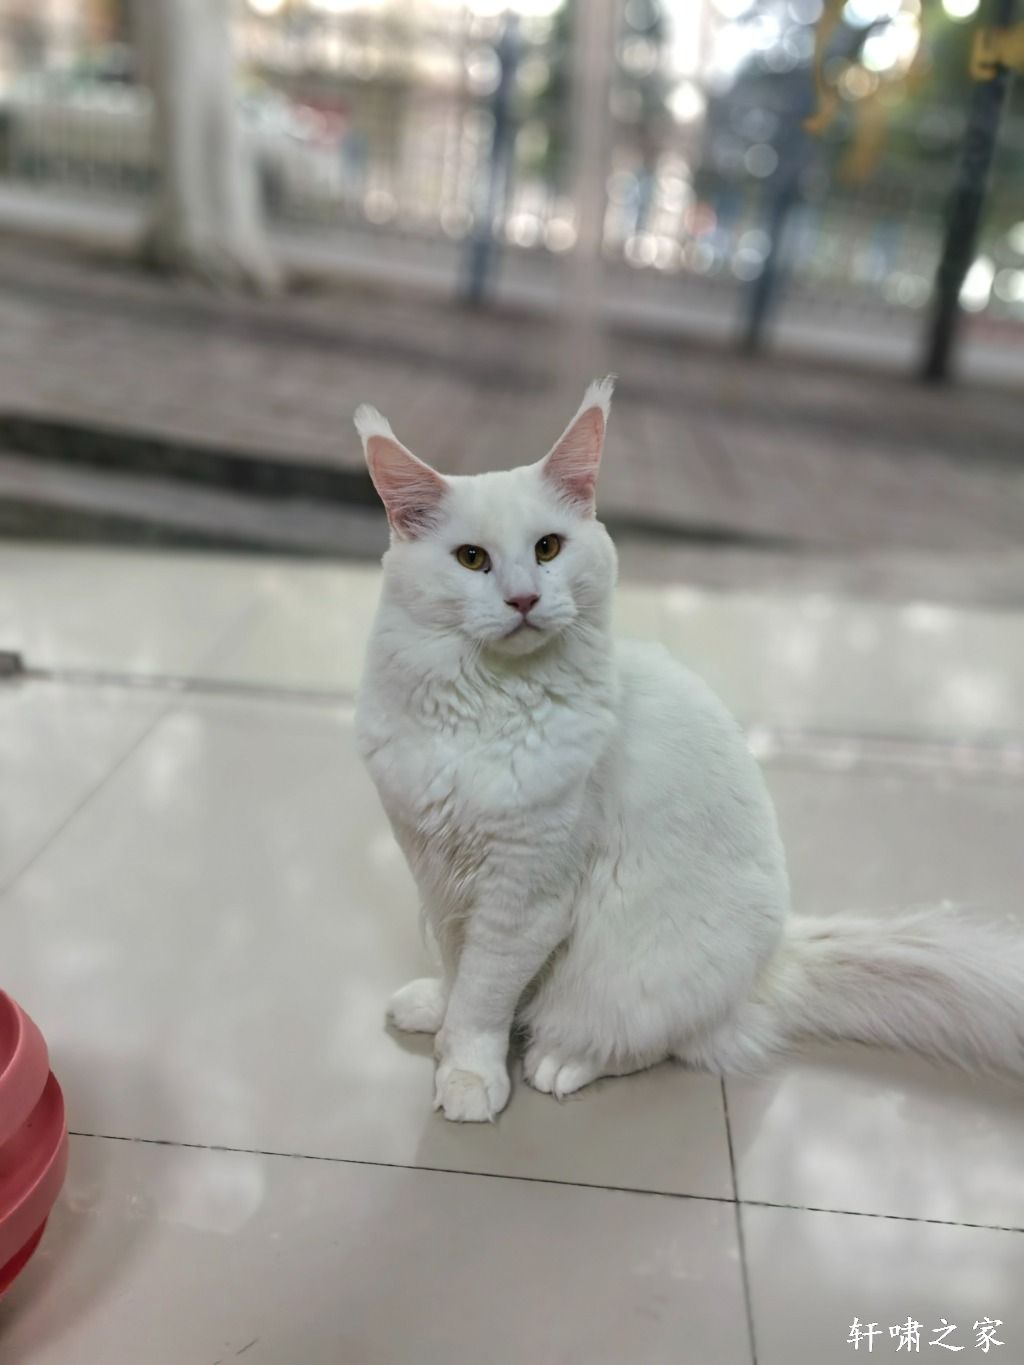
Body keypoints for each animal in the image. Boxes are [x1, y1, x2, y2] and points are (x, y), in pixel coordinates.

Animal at [353, 378, 1024, 1122]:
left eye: (549, 548)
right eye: (471, 558)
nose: (524, 598)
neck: (484, 710)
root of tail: (772, 963)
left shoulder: (525, 894)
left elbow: (484, 995)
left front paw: (469, 1073)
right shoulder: (436, 871)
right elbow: (455, 965)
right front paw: (436, 1015)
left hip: (643, 978)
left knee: (656, 1043)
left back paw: (561, 1061)